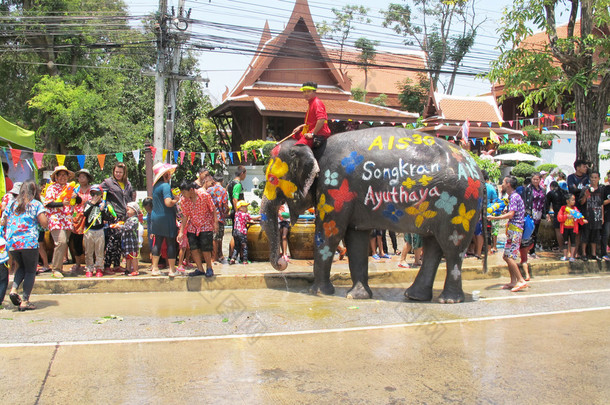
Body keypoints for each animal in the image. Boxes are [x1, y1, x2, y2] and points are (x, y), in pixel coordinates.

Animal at [258, 127, 482, 304]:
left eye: (272, 178)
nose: (283, 262)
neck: (313, 148)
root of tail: (476, 167)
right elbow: (356, 240)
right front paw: (356, 296)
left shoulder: (335, 186)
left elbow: (329, 234)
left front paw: (319, 292)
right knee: (433, 246)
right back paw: (415, 296)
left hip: (460, 204)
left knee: (452, 247)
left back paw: (448, 300)